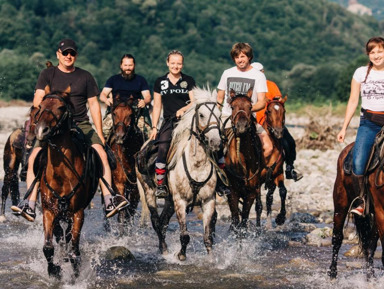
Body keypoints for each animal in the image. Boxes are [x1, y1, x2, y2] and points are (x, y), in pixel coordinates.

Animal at [33, 89, 98, 278]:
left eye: (61, 107)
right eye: (41, 106)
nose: (41, 130)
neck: (61, 174)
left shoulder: (77, 213)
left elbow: (75, 252)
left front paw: (75, 276)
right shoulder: (48, 211)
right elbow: (48, 247)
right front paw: (55, 271)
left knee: (68, 239)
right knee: (61, 237)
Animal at [108, 94, 144, 225]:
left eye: (130, 114)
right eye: (114, 113)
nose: (120, 136)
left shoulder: (136, 188)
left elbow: (130, 213)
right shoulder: (119, 184)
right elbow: (122, 213)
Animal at [137, 87, 222, 258]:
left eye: (219, 114)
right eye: (201, 115)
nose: (216, 142)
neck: (196, 166)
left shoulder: (208, 201)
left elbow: (208, 236)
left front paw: (211, 258)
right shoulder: (180, 202)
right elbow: (185, 235)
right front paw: (181, 255)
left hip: (170, 201)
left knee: (163, 222)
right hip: (149, 192)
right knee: (156, 221)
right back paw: (164, 249)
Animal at [225, 89, 264, 233]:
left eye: (250, 106)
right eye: (232, 106)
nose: (241, 126)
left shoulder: (251, 193)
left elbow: (244, 222)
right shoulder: (232, 192)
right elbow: (236, 220)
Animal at [328, 141, 384, 278]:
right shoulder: (381, 212)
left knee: (370, 245)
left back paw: (370, 278)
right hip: (340, 203)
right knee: (337, 237)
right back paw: (332, 275)